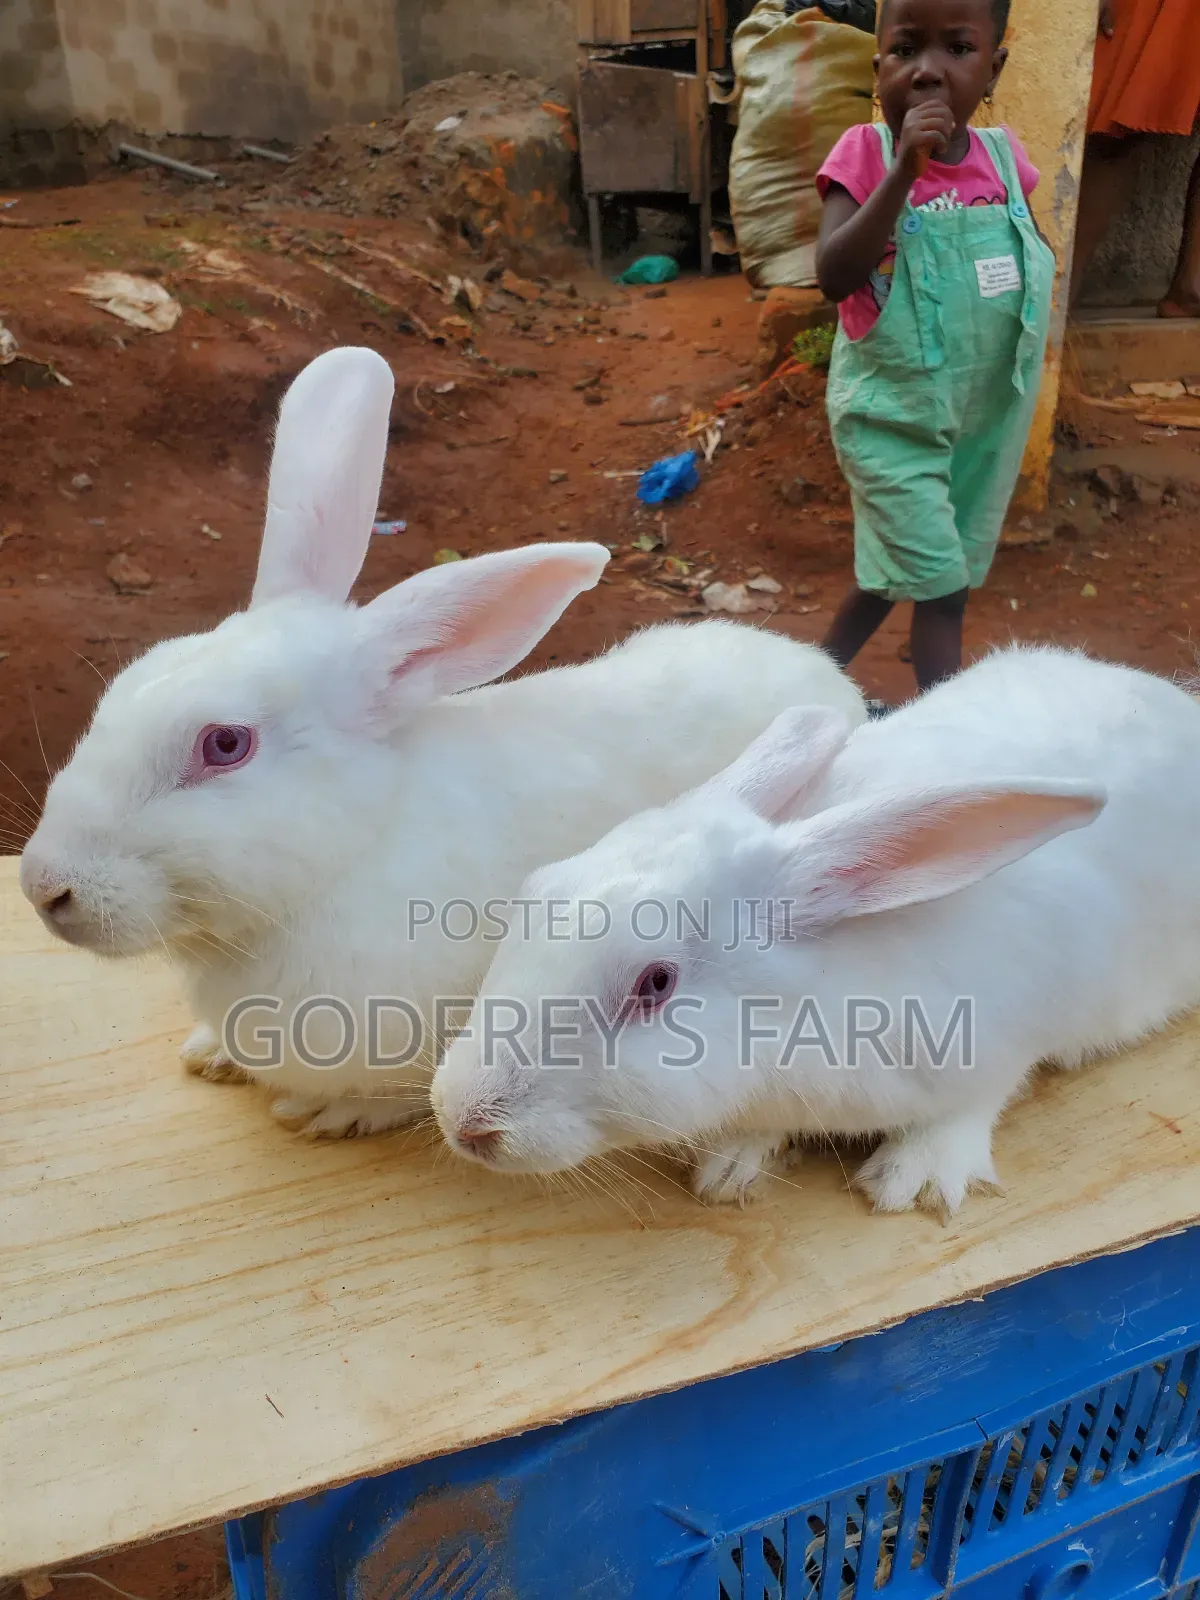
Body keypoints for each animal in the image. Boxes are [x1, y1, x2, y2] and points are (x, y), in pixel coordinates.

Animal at [20, 344, 868, 1139]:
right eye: (126, 683)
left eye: (224, 744)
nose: (42, 887)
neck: (351, 853)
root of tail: (823, 673)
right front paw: (210, 1055)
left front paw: (326, 1113)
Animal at [432, 643, 1200, 1215]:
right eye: (536, 893)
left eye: (656, 982)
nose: (464, 1123)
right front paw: (729, 1167)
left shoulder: (1011, 1030)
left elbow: (973, 1105)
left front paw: (912, 1181)